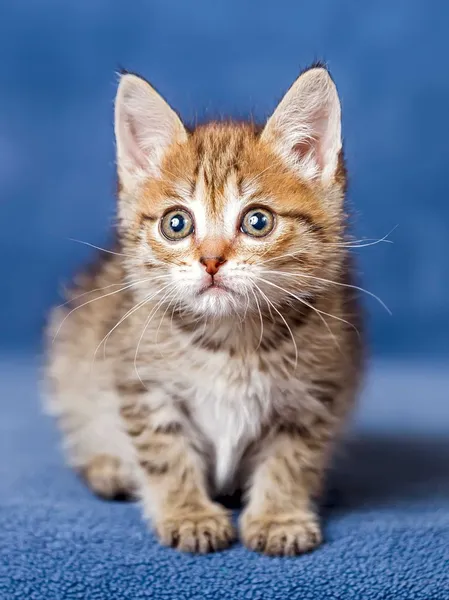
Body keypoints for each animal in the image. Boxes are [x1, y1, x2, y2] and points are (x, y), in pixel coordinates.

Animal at [45, 63, 362, 556]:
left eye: (257, 221)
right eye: (176, 223)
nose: (211, 260)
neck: (231, 339)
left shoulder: (314, 393)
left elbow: (291, 459)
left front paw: (279, 516)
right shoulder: (144, 387)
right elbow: (165, 454)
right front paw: (188, 513)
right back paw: (108, 466)